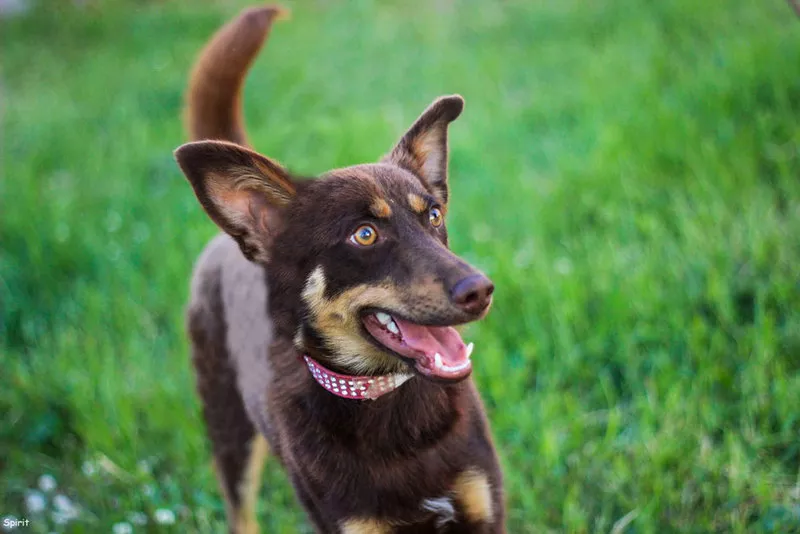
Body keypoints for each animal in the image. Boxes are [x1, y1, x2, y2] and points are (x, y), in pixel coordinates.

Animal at [173, 5, 506, 534]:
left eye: (434, 215)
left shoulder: (483, 509)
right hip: (227, 425)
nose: (480, 290)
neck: (387, 403)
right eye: (364, 234)